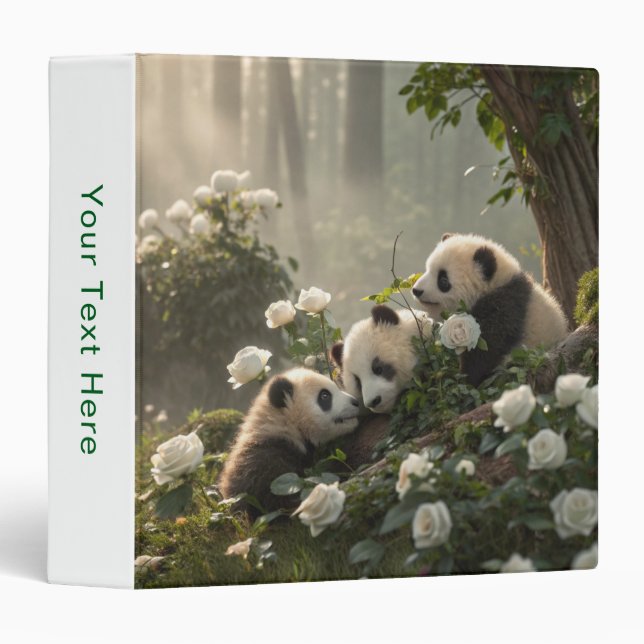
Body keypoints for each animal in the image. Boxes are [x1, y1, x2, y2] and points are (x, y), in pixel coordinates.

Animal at [412, 233, 569, 386]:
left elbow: (485, 352)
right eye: (428, 270)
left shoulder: (502, 308)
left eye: (443, 280)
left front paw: (464, 378)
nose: (416, 290)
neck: (496, 283)